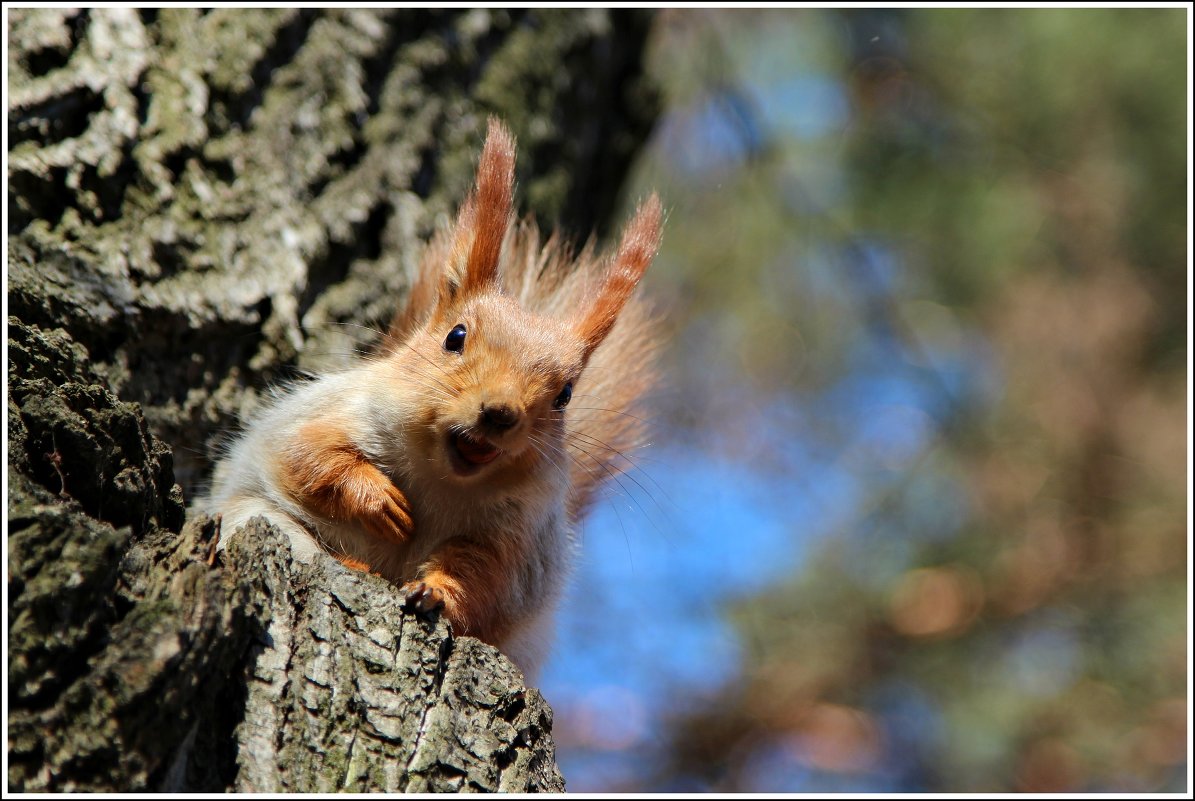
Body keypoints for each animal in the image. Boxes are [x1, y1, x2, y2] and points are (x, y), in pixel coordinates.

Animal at [198, 115, 664, 674]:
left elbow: (486, 578)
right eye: (455, 337)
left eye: (566, 395)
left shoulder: (517, 535)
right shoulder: (331, 410)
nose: (500, 412)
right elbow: (306, 456)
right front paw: (382, 504)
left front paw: (437, 593)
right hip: (255, 518)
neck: (441, 477)